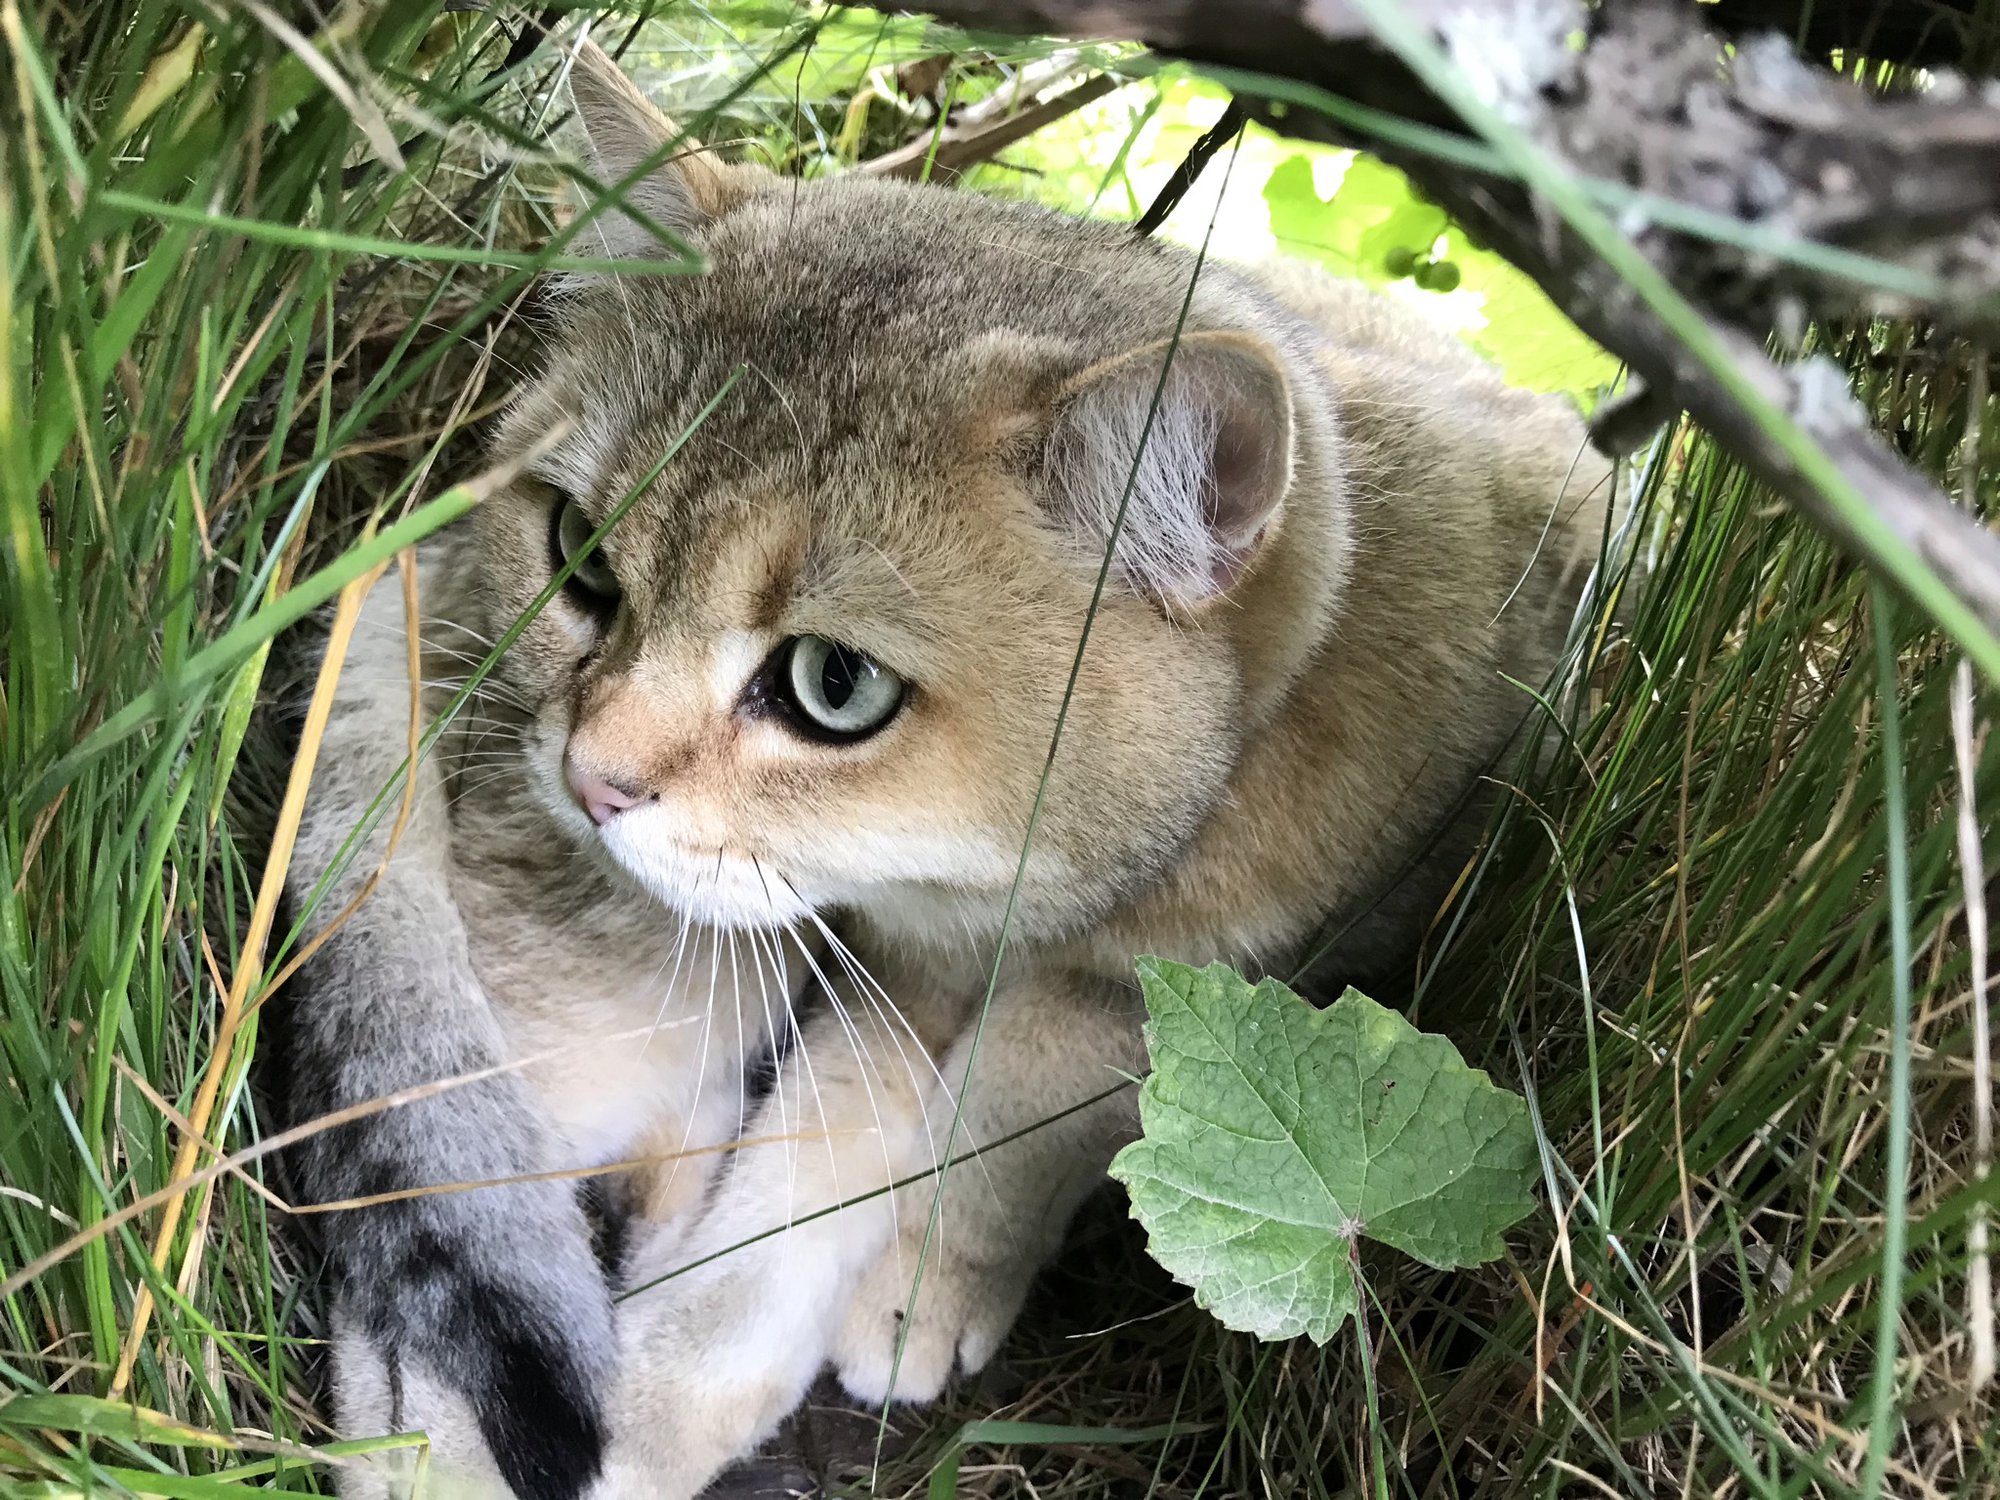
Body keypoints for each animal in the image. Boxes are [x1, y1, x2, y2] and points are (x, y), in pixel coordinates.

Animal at [282, 35, 1616, 1500]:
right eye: (579, 555)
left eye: (835, 686)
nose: (591, 779)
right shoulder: (889, 963)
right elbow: (818, 1161)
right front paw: (654, 1397)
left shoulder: (1205, 963)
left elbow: (1017, 1098)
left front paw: (903, 1285)